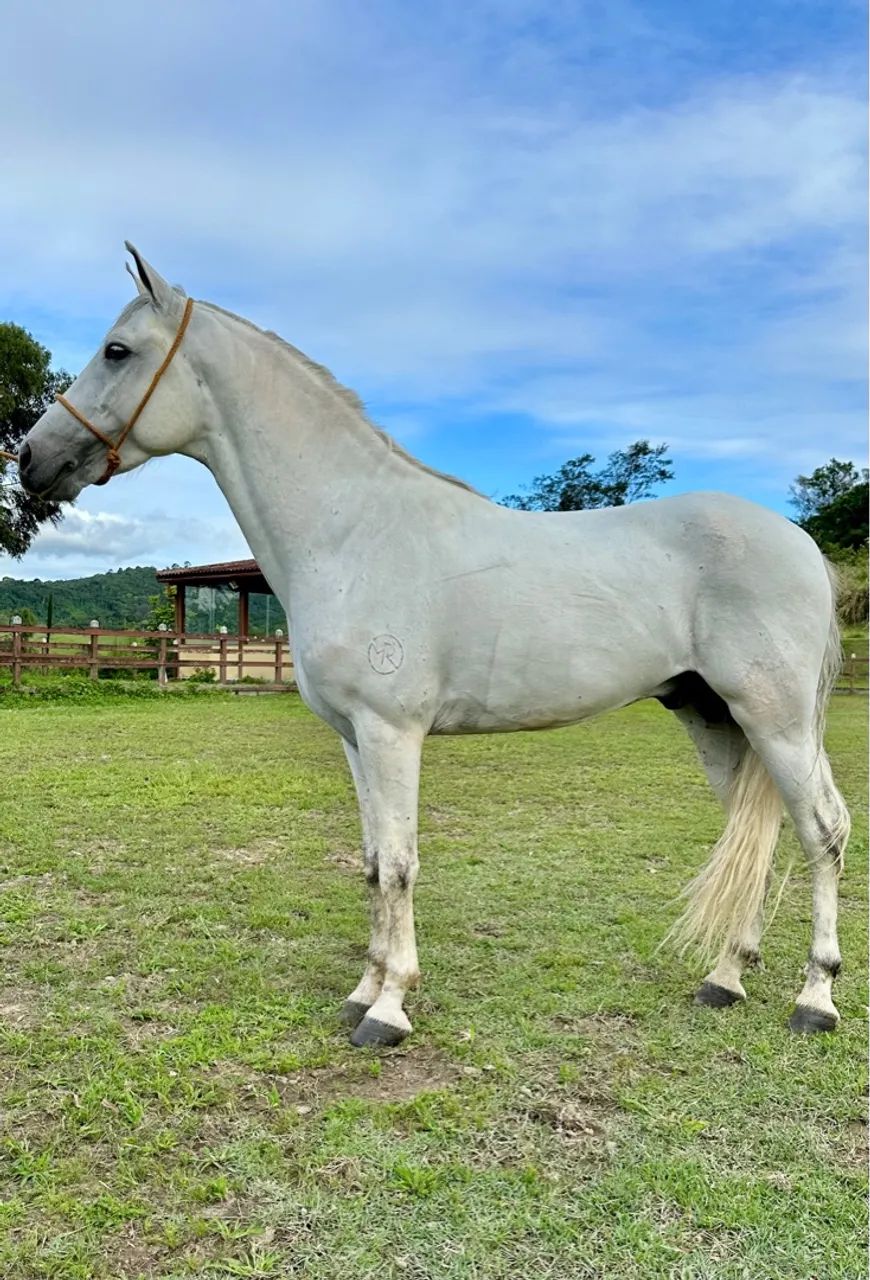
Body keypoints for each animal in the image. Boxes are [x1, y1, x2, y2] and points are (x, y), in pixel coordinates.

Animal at [19, 244, 850, 1047]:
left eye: (117, 351)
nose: (31, 459)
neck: (353, 530)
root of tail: (802, 546)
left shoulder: (393, 733)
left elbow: (399, 867)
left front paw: (389, 1011)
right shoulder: (354, 738)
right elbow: (371, 865)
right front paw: (363, 992)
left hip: (777, 721)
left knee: (823, 831)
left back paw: (815, 999)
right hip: (713, 717)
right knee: (762, 833)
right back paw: (726, 978)